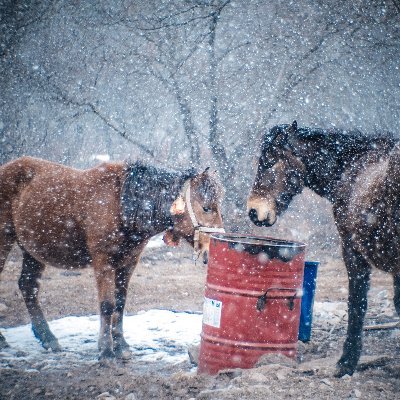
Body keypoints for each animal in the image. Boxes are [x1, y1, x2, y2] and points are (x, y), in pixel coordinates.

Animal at [0, 156, 225, 360]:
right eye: (206, 207)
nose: (211, 250)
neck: (122, 204)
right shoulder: (103, 262)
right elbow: (107, 305)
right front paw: (106, 351)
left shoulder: (128, 264)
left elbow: (120, 303)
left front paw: (121, 346)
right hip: (5, 241)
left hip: (33, 251)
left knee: (28, 286)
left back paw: (48, 338)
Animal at [247, 120, 400, 376]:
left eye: (269, 161)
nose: (253, 211)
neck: (353, 168)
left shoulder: (351, 250)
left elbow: (357, 304)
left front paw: (346, 362)